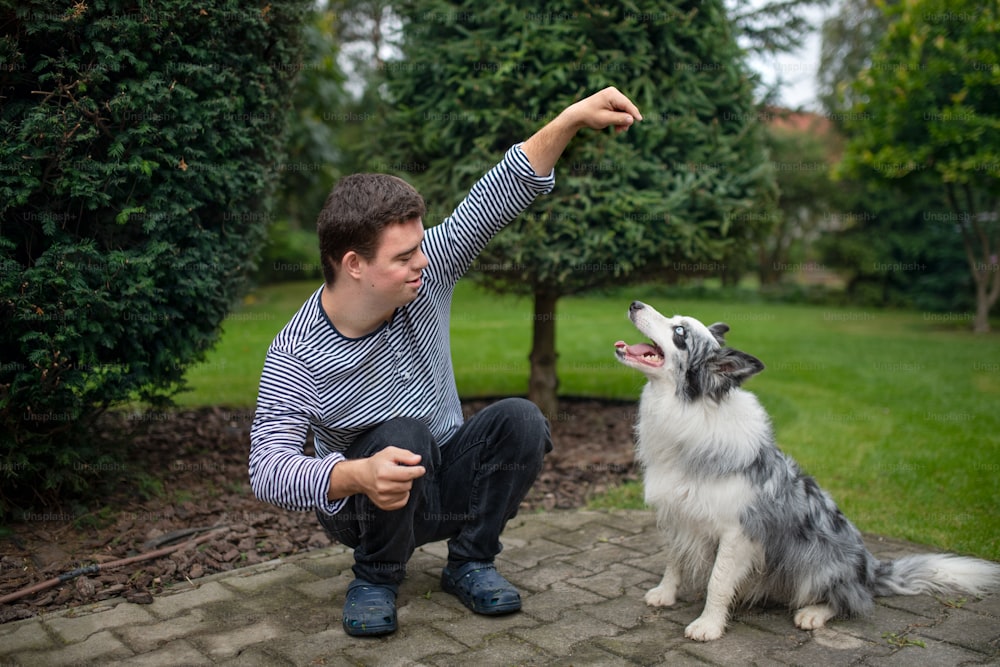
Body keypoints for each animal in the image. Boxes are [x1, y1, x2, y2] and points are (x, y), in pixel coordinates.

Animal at [612, 302, 996, 640]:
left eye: (680, 333)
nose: (634, 304)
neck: (688, 410)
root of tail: (869, 571)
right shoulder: (677, 513)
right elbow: (674, 560)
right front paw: (665, 593)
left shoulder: (738, 531)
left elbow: (718, 581)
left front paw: (708, 625)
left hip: (816, 561)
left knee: (852, 603)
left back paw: (813, 613)